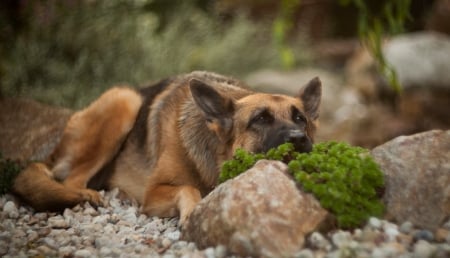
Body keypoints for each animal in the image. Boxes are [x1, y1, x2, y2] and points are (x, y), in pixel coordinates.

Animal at [12, 71, 322, 225]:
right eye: (261, 119)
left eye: (300, 119)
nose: (298, 137)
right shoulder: (155, 192)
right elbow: (188, 187)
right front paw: (192, 212)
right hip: (125, 99)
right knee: (71, 180)